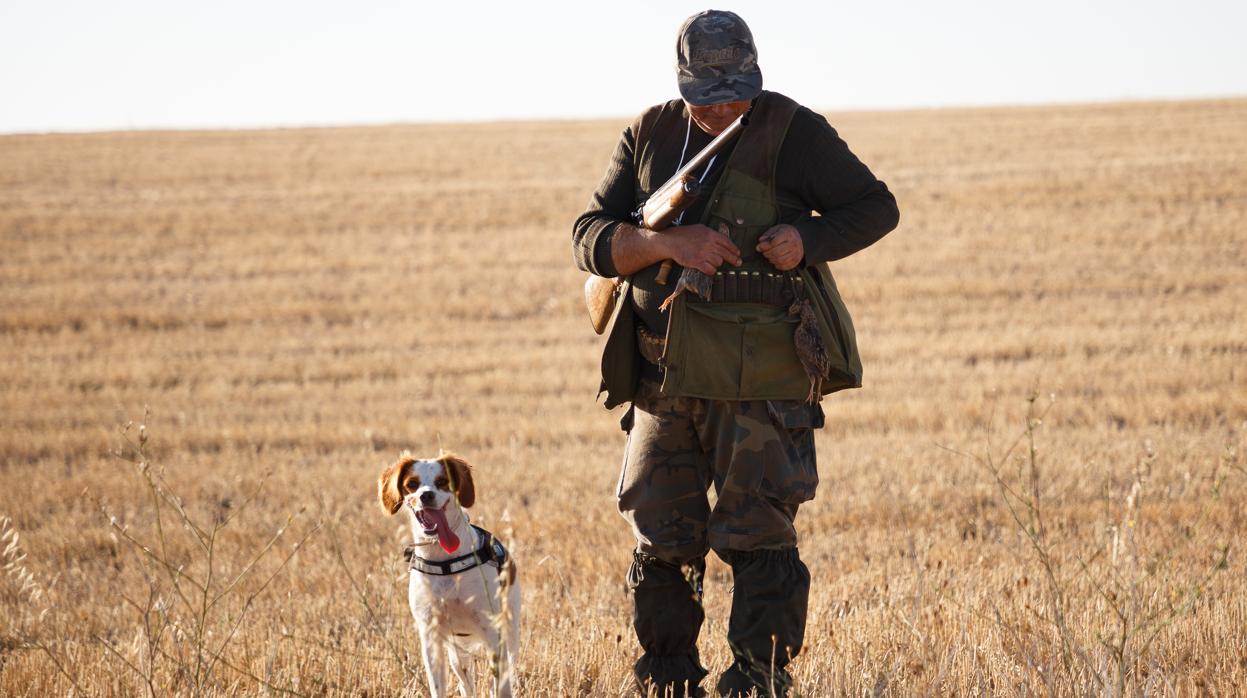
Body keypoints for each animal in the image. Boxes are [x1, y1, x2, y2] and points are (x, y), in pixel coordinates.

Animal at [376, 448, 518, 693]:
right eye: (411, 484)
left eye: (442, 481)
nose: (426, 496)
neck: (444, 562)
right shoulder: (430, 636)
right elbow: (438, 686)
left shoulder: (492, 632)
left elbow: (500, 687)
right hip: (458, 654)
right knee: (466, 684)